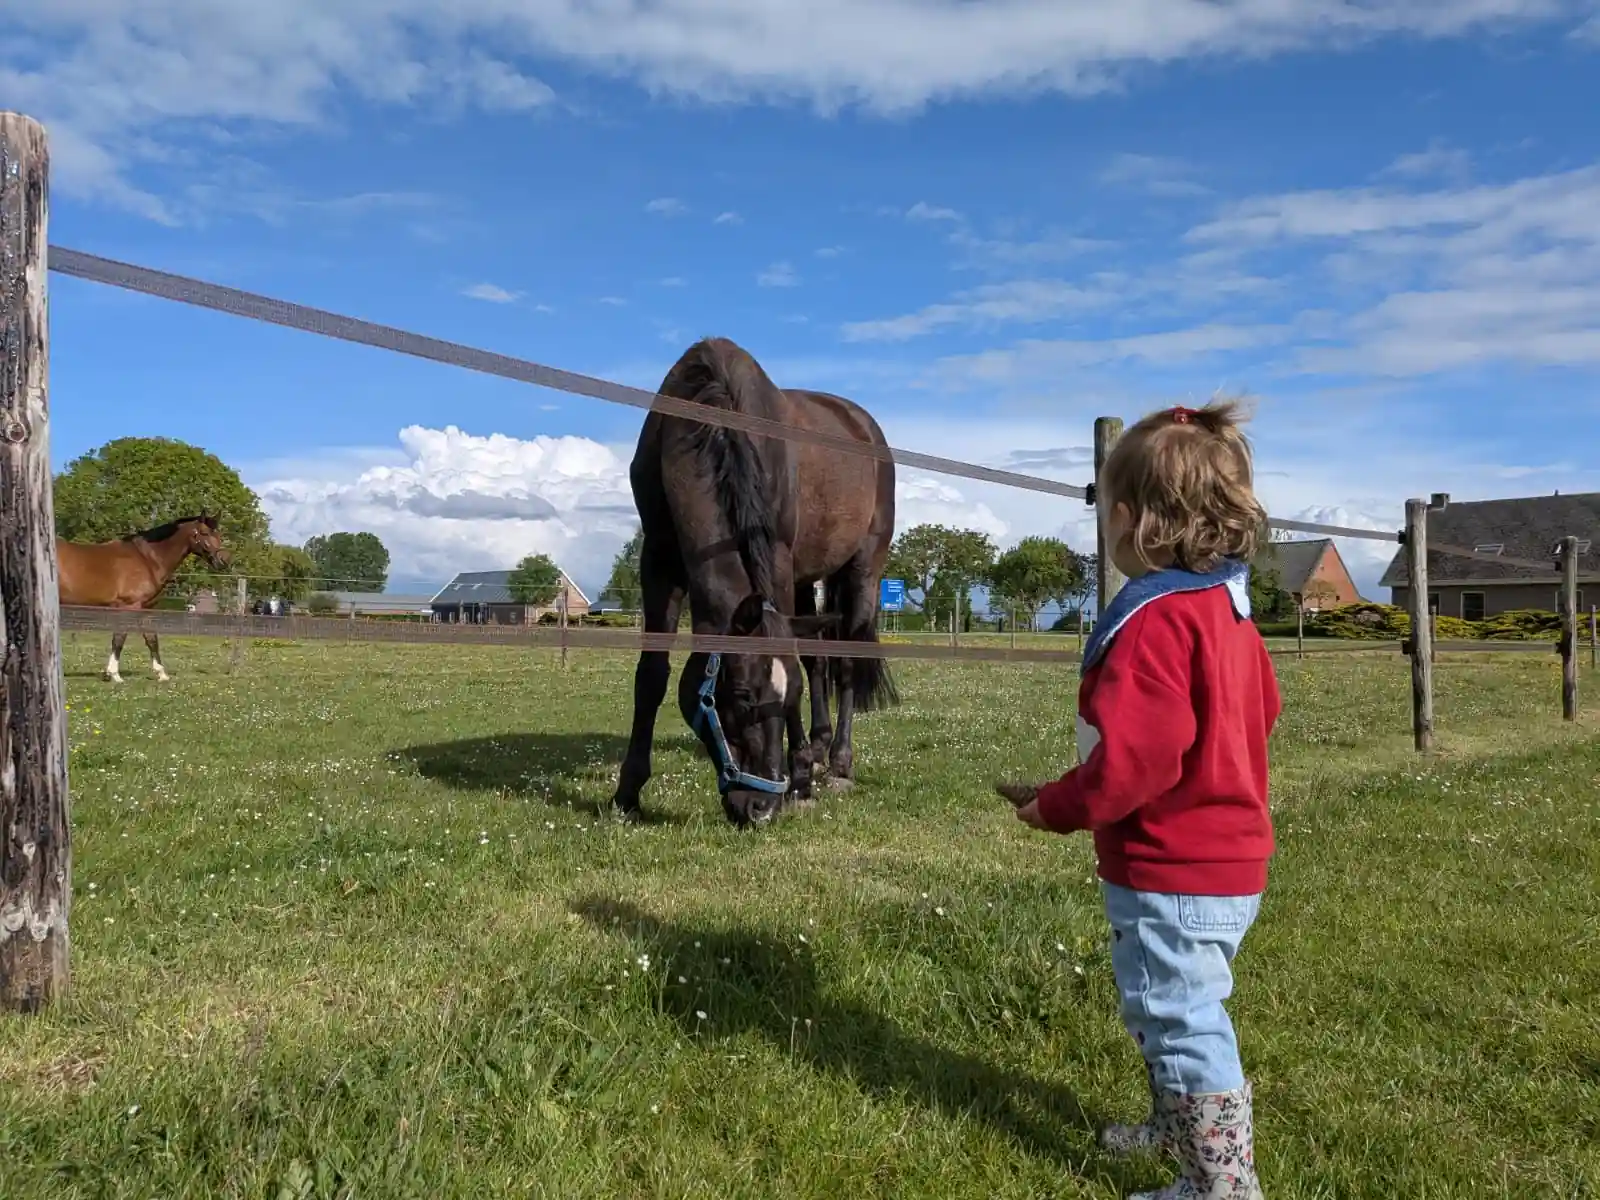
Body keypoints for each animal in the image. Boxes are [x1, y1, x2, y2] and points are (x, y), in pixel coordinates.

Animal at [57, 513, 232, 683]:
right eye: (204, 533)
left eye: (218, 534)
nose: (224, 560)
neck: (147, 559)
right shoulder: (128, 607)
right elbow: (119, 638)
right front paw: (114, 675)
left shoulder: (147, 608)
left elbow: (151, 639)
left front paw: (161, 674)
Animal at [610, 337, 900, 827]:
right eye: (742, 696)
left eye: (785, 700)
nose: (762, 807)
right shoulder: (659, 561)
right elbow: (651, 675)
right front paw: (627, 793)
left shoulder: (776, 557)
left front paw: (800, 779)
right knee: (819, 659)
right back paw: (818, 749)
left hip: (861, 571)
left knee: (844, 664)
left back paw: (838, 763)